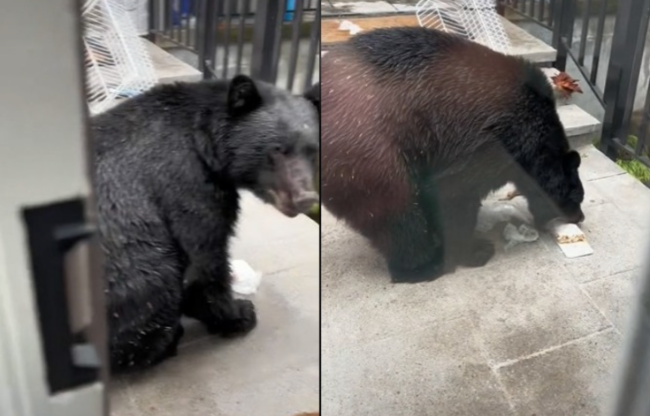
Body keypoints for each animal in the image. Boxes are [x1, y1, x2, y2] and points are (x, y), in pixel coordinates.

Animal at [92, 74, 320, 371]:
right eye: (277, 150)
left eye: (313, 151)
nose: (305, 198)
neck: (204, 143)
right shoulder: (187, 182)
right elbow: (205, 260)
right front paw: (240, 314)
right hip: (132, 264)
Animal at [321, 27, 585, 284]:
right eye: (577, 196)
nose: (579, 217)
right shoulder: (494, 141)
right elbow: (453, 191)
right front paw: (473, 249)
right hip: (371, 154)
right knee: (400, 214)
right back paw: (426, 266)